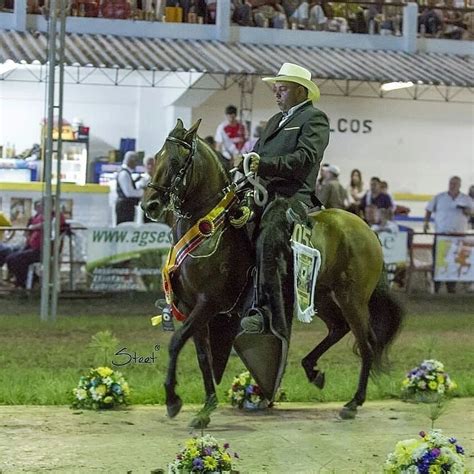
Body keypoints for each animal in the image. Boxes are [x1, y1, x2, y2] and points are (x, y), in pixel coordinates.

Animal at [142, 119, 404, 426]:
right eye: (156, 156)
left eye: (175, 161)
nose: (149, 205)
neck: (210, 227)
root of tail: (367, 230)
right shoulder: (190, 306)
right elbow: (202, 355)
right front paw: (206, 409)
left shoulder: (210, 303)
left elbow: (175, 342)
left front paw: (173, 400)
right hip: (320, 295)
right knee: (339, 327)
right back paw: (313, 371)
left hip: (352, 298)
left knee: (366, 343)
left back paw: (353, 403)